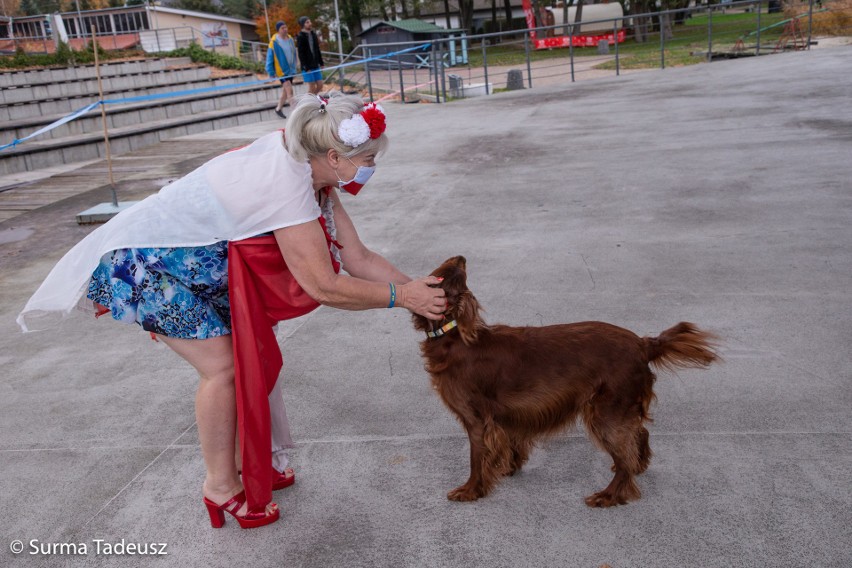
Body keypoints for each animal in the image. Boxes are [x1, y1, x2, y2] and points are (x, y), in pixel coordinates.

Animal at [412, 256, 720, 506]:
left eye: (443, 275)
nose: (461, 256)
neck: (453, 334)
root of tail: (643, 344)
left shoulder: (476, 419)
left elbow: (476, 457)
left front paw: (470, 490)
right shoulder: (506, 417)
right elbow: (509, 444)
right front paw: (508, 468)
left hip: (605, 413)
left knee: (624, 456)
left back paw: (609, 495)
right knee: (639, 434)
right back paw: (639, 466)